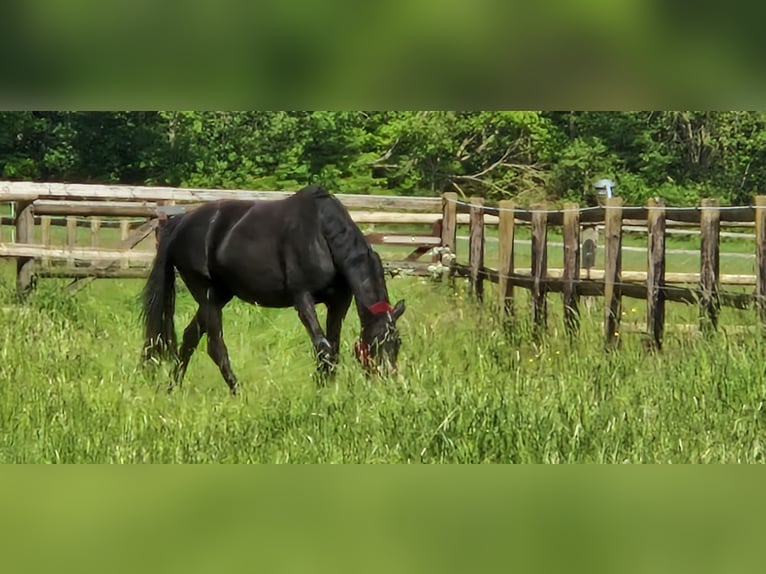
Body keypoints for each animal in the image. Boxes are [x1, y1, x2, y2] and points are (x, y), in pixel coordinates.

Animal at [143, 186, 408, 396]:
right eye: (375, 344)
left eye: (398, 343)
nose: (388, 383)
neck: (323, 235)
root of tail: (179, 225)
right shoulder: (302, 298)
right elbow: (322, 347)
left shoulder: (339, 303)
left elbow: (332, 349)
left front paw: (327, 388)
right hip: (205, 293)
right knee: (215, 347)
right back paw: (238, 392)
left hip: (219, 295)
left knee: (190, 337)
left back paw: (172, 388)